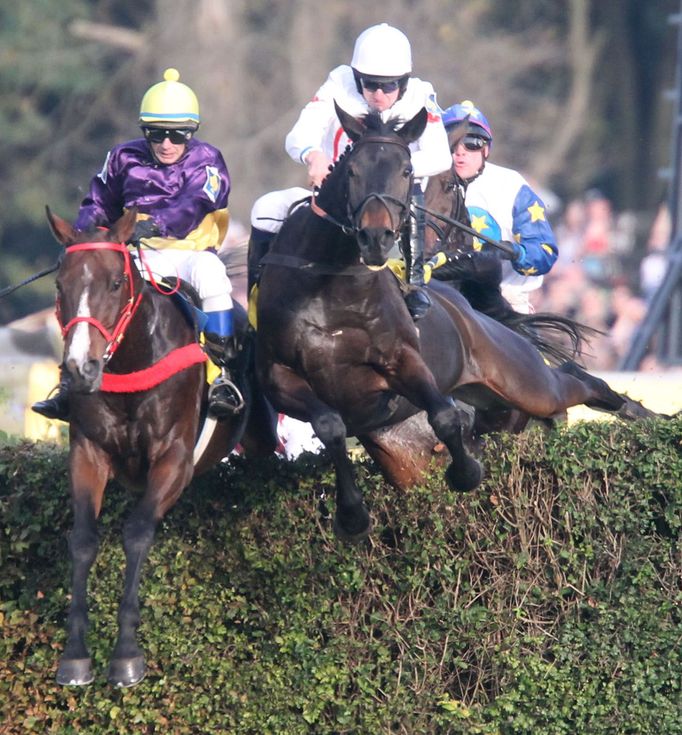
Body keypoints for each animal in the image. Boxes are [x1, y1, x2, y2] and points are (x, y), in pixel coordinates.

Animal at [45, 208, 276, 688]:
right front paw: (75, 656)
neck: (131, 362)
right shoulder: (87, 454)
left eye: (116, 282)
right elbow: (83, 540)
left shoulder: (174, 460)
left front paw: (126, 655)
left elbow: (136, 532)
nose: (80, 368)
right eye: (60, 285)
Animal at [254, 105, 652, 540]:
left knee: (575, 380)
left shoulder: (404, 361)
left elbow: (444, 415)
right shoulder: (280, 378)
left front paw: (466, 471)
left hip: (524, 381)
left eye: (406, 171)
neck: (330, 285)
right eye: (354, 169)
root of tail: (471, 311)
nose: (376, 238)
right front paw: (353, 515)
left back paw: (648, 417)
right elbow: (330, 425)